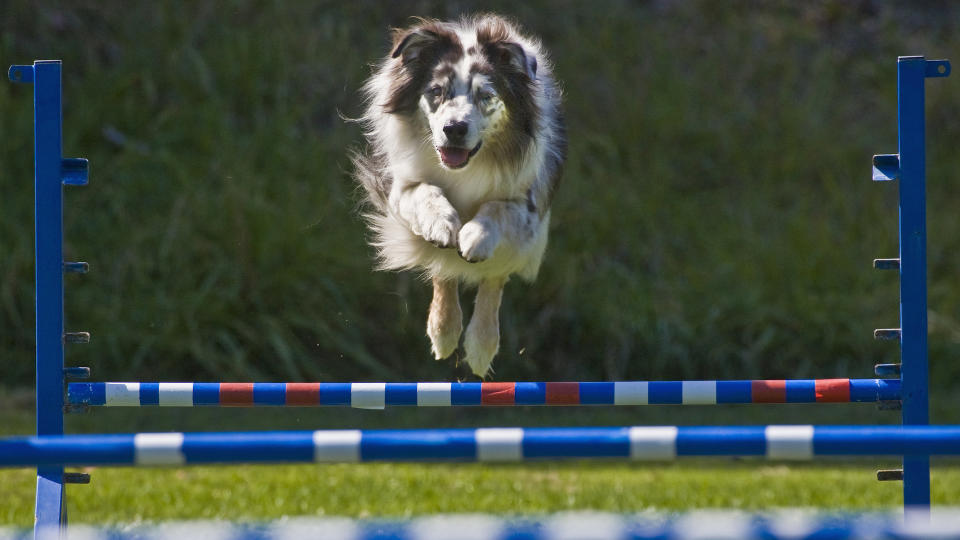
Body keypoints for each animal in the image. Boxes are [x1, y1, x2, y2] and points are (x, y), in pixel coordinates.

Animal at [350, 11, 564, 376]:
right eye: (436, 91)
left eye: (486, 96)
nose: (454, 129)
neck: (465, 169)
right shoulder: (401, 187)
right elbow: (426, 192)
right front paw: (442, 223)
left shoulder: (528, 203)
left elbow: (495, 210)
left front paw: (475, 236)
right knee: (444, 268)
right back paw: (444, 332)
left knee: (494, 276)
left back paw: (480, 347)